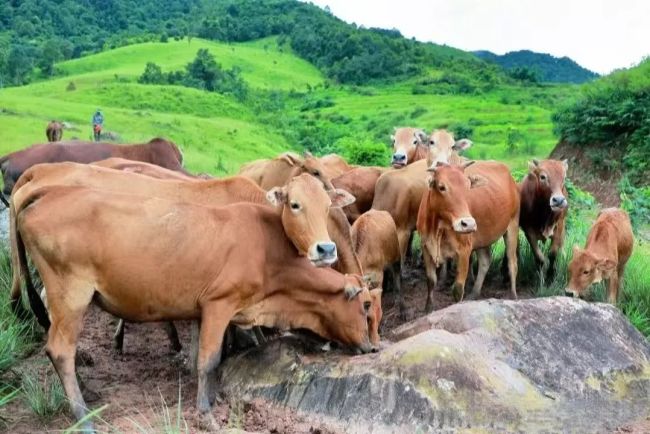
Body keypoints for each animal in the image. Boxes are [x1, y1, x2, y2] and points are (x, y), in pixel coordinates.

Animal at [13, 186, 370, 430]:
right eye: (366, 306)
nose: (370, 346)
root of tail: (47, 193)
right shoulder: (219, 304)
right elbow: (208, 361)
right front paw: (207, 414)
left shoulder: (201, 311)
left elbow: (207, 356)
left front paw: (210, 400)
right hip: (71, 294)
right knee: (60, 350)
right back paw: (83, 415)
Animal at [418, 162, 520, 308]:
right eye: (441, 187)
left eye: (468, 186)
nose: (468, 224)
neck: (438, 228)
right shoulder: (425, 247)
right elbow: (431, 281)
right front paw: (428, 309)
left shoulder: (464, 251)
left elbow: (458, 289)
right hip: (483, 237)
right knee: (485, 261)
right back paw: (474, 294)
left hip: (512, 226)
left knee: (512, 263)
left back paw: (513, 296)